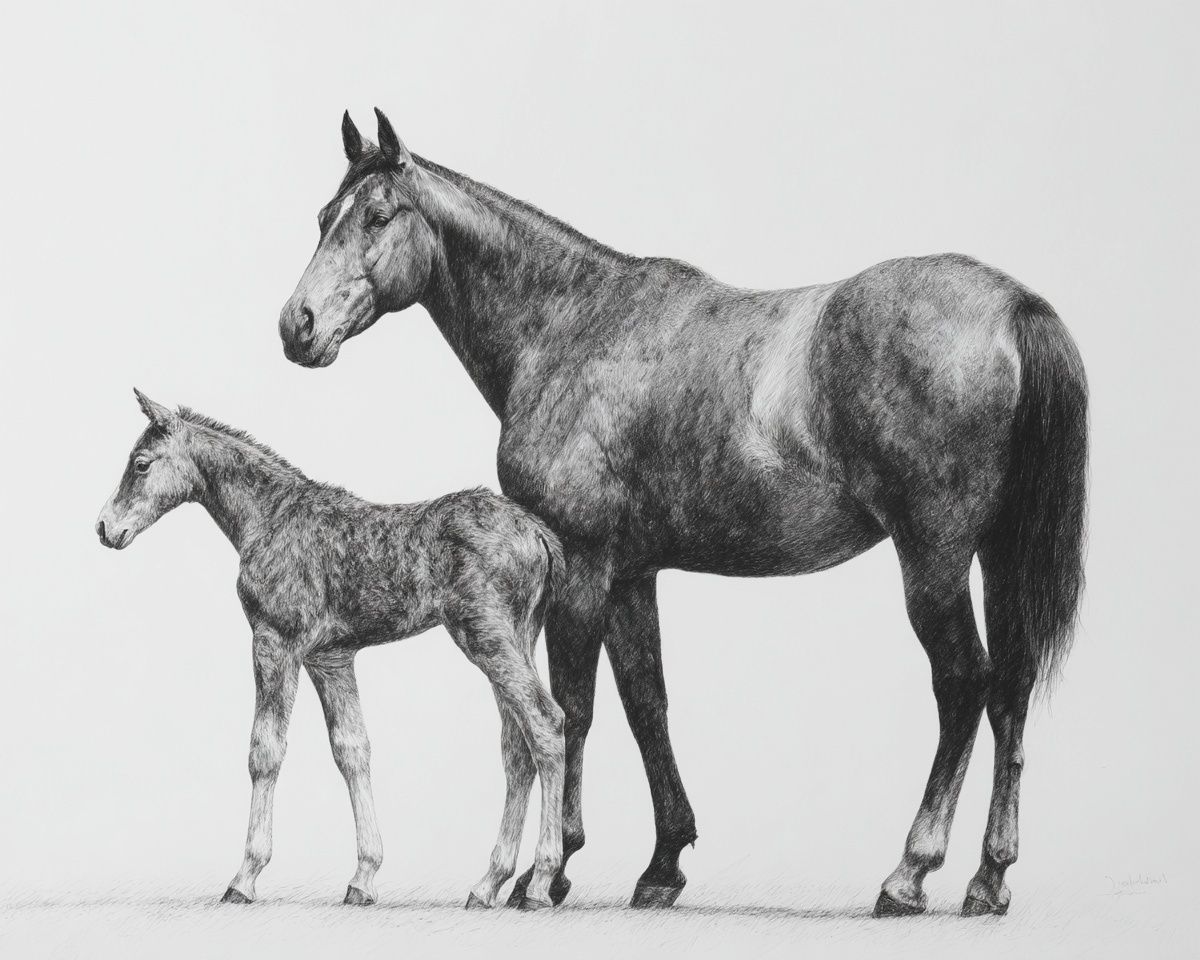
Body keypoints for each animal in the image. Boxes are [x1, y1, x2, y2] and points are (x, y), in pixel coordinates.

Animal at [96, 388, 568, 910]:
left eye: (140, 463)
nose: (104, 528)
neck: (268, 519)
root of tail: (538, 532)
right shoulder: (330, 659)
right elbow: (351, 749)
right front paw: (363, 878)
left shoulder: (275, 642)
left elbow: (265, 750)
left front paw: (245, 877)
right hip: (517, 638)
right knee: (517, 745)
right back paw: (487, 884)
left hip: (487, 638)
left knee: (545, 723)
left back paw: (540, 883)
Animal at [278, 109, 1088, 917]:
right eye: (323, 217)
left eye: (379, 215)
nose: (297, 326)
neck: (569, 326)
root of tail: (1014, 307)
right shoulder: (633, 575)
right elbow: (647, 705)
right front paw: (662, 864)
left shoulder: (582, 565)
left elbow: (573, 706)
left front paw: (551, 871)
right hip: (997, 555)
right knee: (1011, 688)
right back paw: (989, 878)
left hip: (933, 559)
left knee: (964, 685)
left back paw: (909, 873)